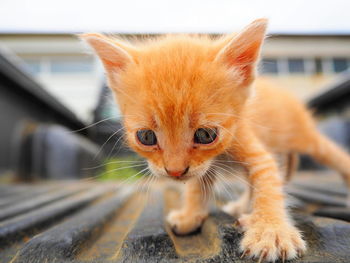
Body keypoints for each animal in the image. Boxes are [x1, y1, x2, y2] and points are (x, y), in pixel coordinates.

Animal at [80, 19, 350, 262]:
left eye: (206, 135)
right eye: (146, 137)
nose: (174, 171)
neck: (219, 155)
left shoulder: (254, 150)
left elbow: (268, 187)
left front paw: (271, 231)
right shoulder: (201, 167)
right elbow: (197, 186)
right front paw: (191, 215)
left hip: (304, 138)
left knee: (329, 154)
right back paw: (243, 207)